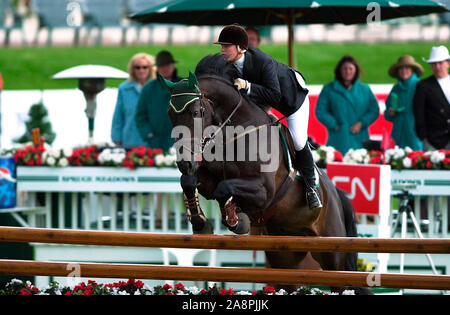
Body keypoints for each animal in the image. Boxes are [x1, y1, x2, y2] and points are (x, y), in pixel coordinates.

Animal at [162, 55, 372, 296]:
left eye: (196, 113)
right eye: (169, 114)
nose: (184, 163)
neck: (232, 134)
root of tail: (336, 195)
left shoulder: (264, 191)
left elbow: (225, 188)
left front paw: (237, 221)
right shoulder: (208, 178)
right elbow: (190, 182)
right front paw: (201, 223)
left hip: (333, 253)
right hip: (284, 254)